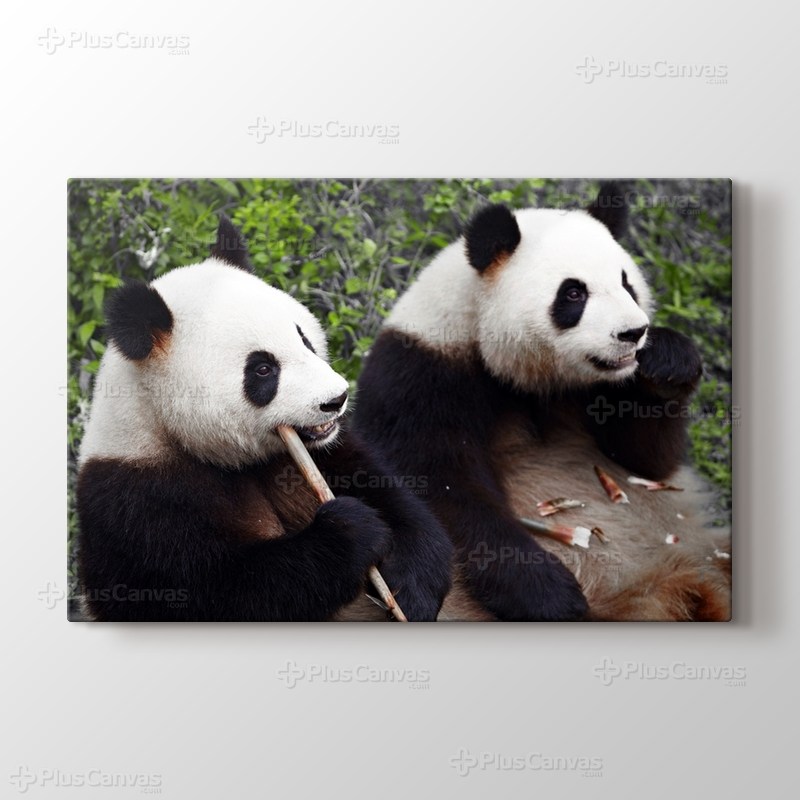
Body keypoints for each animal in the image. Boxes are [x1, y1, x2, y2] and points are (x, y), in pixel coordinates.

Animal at [76, 216, 452, 621]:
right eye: (262, 369)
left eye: (304, 339)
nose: (335, 400)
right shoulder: (138, 504)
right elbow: (225, 593)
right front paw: (351, 530)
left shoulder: (323, 453)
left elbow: (394, 501)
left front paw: (410, 591)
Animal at [354, 183, 731, 621]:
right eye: (574, 293)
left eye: (627, 284)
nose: (633, 332)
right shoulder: (420, 377)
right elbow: (441, 491)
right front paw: (550, 595)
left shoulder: (603, 392)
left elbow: (647, 465)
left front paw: (669, 361)